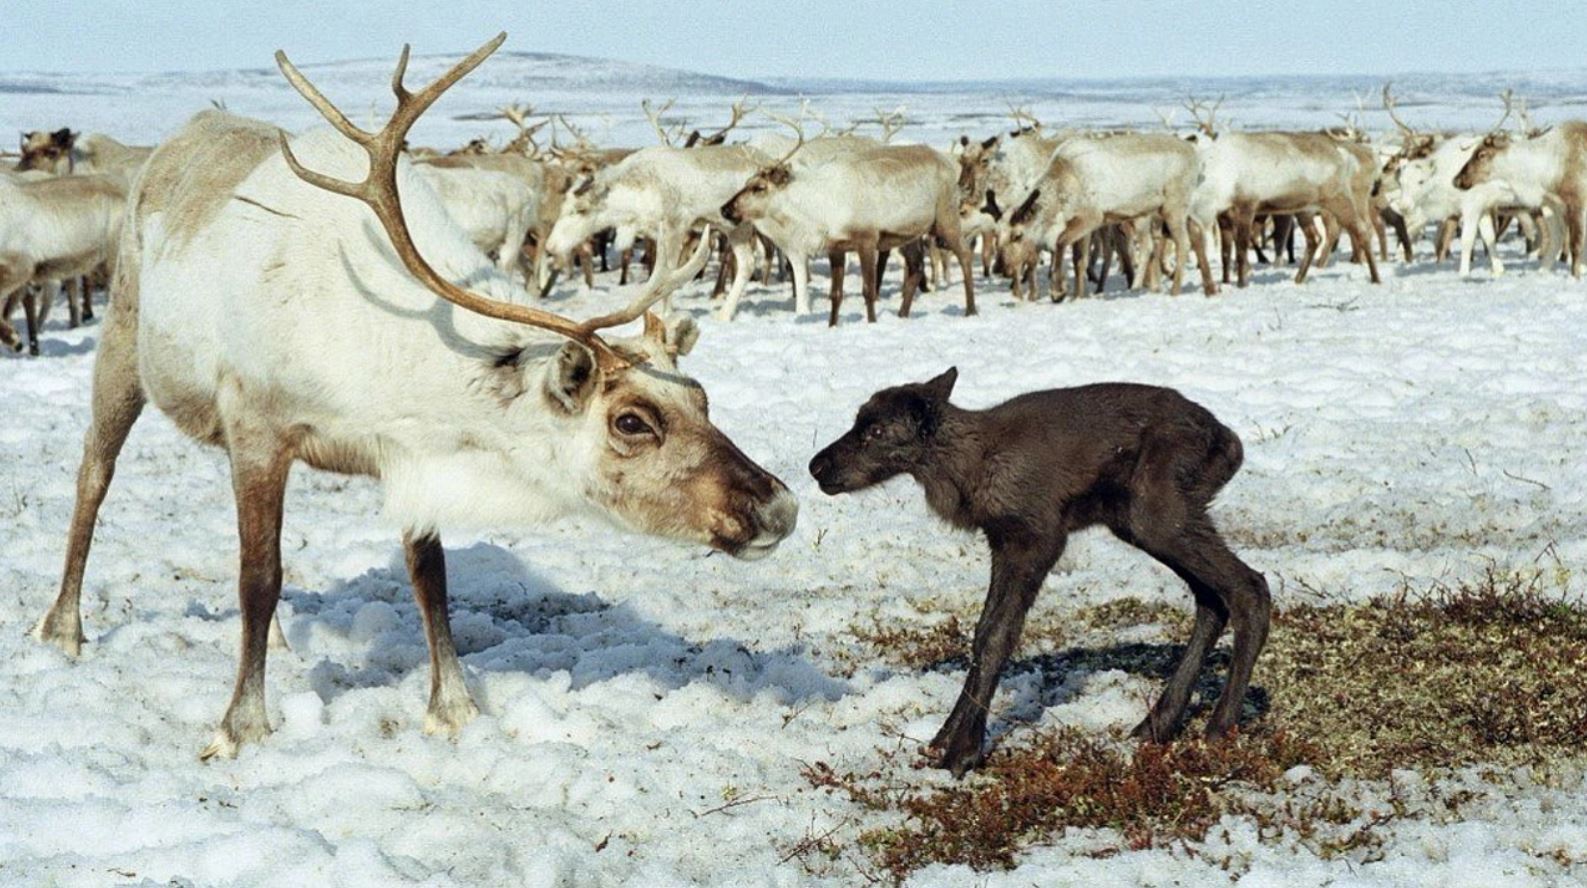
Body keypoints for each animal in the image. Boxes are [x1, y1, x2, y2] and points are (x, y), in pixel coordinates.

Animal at [812, 371, 1269, 773]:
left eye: (876, 431)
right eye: (859, 420)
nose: (817, 466)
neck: (967, 473)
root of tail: (1232, 444)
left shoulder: (1037, 537)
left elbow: (998, 636)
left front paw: (962, 753)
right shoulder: (1000, 542)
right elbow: (981, 632)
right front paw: (942, 736)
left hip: (1159, 512)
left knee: (1250, 586)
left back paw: (1218, 727)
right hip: (1139, 521)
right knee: (1212, 598)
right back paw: (1156, 724)